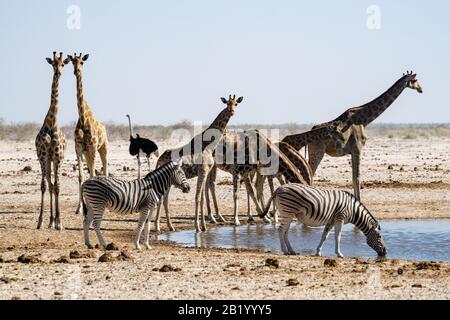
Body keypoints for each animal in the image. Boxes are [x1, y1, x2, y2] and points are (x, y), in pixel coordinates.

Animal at [68, 53, 110, 215]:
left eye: (82, 62)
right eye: (72, 62)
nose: (76, 71)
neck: (83, 118)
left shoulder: (92, 147)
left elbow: (92, 174)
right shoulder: (79, 148)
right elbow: (81, 175)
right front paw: (79, 208)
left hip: (103, 148)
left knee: (105, 168)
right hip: (87, 152)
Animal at [155, 94, 243, 231]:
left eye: (236, 104)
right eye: (227, 103)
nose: (232, 111)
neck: (209, 144)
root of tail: (160, 159)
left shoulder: (203, 172)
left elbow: (201, 197)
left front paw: (203, 226)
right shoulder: (203, 171)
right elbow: (198, 197)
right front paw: (198, 226)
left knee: (164, 199)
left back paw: (168, 226)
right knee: (163, 199)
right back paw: (160, 227)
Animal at [258, 182, 388, 258]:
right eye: (379, 236)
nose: (386, 252)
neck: (353, 210)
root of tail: (279, 188)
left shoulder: (331, 221)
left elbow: (324, 236)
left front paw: (318, 252)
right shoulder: (340, 218)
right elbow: (337, 236)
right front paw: (339, 254)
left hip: (289, 213)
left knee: (285, 232)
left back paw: (292, 251)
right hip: (287, 211)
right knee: (280, 230)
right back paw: (285, 251)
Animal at [306, 72, 422, 200]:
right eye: (415, 80)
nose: (421, 89)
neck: (364, 121)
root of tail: (310, 131)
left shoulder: (353, 151)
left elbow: (353, 177)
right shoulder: (357, 149)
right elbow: (357, 177)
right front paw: (358, 200)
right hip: (318, 152)